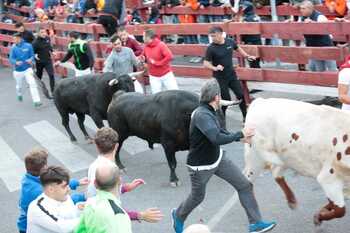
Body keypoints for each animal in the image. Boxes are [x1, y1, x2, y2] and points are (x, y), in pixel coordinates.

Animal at [243, 98, 350, 226]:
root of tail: (260, 101)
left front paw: (321, 212)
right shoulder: (328, 177)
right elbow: (340, 211)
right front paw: (319, 216)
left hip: (286, 157)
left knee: (276, 173)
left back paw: (292, 201)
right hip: (256, 156)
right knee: (247, 179)